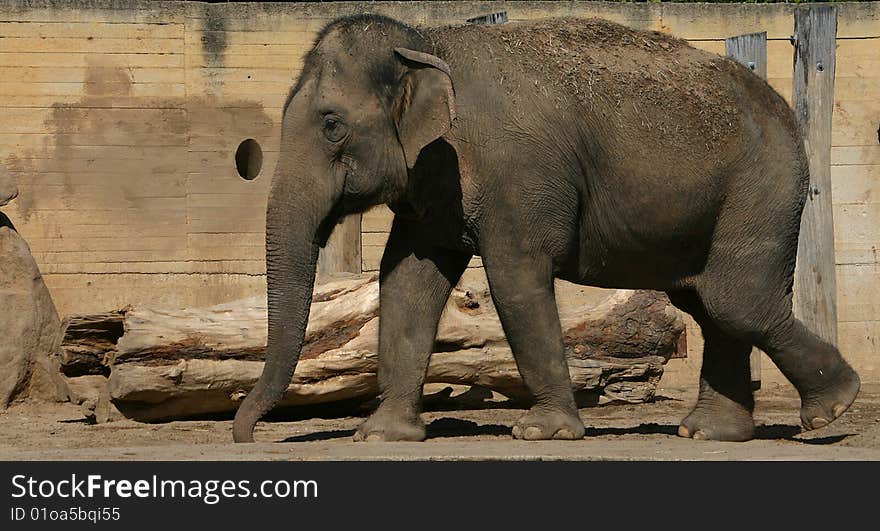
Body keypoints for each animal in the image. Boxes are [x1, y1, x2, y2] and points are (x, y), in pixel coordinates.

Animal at [232, 14, 860, 442]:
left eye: (331, 125)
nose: (246, 434)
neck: (426, 42)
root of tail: (785, 111)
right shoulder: (434, 183)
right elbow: (407, 282)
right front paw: (382, 436)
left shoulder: (518, 174)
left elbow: (515, 278)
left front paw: (543, 431)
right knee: (706, 301)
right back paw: (708, 432)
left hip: (764, 186)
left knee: (735, 299)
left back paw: (832, 408)